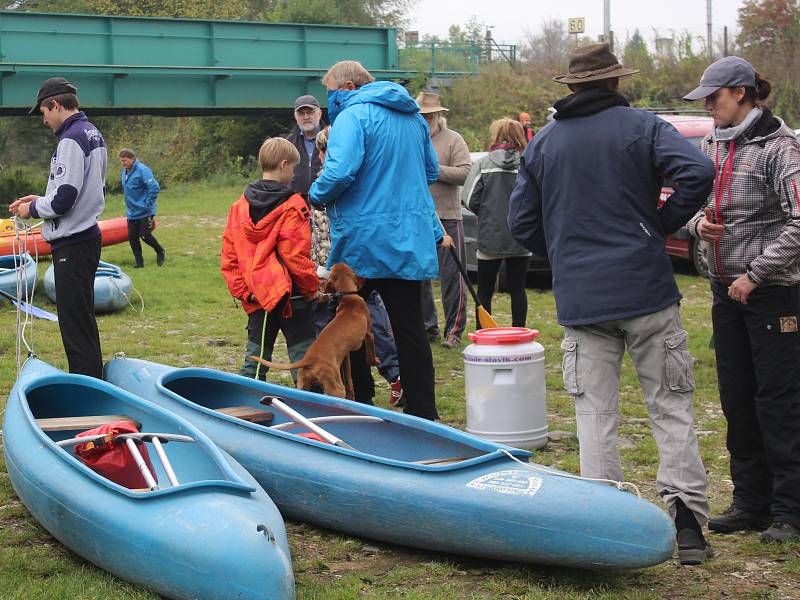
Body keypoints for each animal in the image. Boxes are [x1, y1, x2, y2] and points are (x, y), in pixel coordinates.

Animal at [248, 262, 376, 398]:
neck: (348, 299)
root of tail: (309, 359)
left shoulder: (345, 355)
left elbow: (349, 378)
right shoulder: (369, 334)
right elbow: (371, 352)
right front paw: (374, 361)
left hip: (303, 384)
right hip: (336, 388)